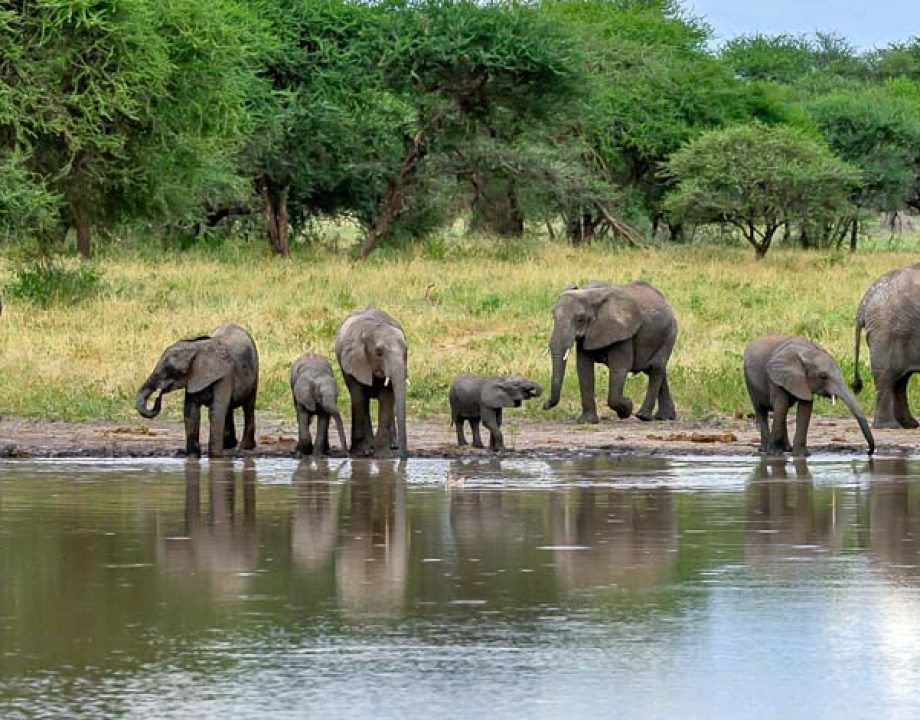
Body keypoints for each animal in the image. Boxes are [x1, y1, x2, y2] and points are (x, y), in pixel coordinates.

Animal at [133, 324, 256, 458]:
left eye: (173, 371)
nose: (158, 395)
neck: (197, 349)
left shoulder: (225, 375)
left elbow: (215, 412)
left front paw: (216, 457)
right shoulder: (193, 377)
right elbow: (191, 412)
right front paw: (192, 457)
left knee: (248, 406)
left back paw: (245, 447)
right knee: (228, 409)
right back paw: (229, 446)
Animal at [336, 306, 408, 458]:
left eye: (406, 351)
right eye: (379, 352)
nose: (404, 457)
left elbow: (387, 399)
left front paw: (383, 455)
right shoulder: (355, 363)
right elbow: (358, 398)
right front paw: (363, 452)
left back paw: (392, 445)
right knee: (362, 401)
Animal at [540, 278, 676, 422]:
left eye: (580, 320)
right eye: (553, 317)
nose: (544, 405)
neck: (590, 294)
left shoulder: (623, 332)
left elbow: (620, 367)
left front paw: (627, 408)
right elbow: (583, 368)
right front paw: (588, 421)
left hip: (670, 333)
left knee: (656, 368)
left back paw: (643, 416)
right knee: (655, 369)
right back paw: (665, 417)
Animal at [740, 334, 876, 456]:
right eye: (823, 376)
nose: (868, 452)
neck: (807, 352)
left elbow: (805, 408)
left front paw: (802, 455)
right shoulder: (775, 378)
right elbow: (781, 405)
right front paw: (774, 454)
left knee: (782, 413)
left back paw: (787, 449)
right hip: (749, 381)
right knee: (762, 410)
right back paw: (765, 450)